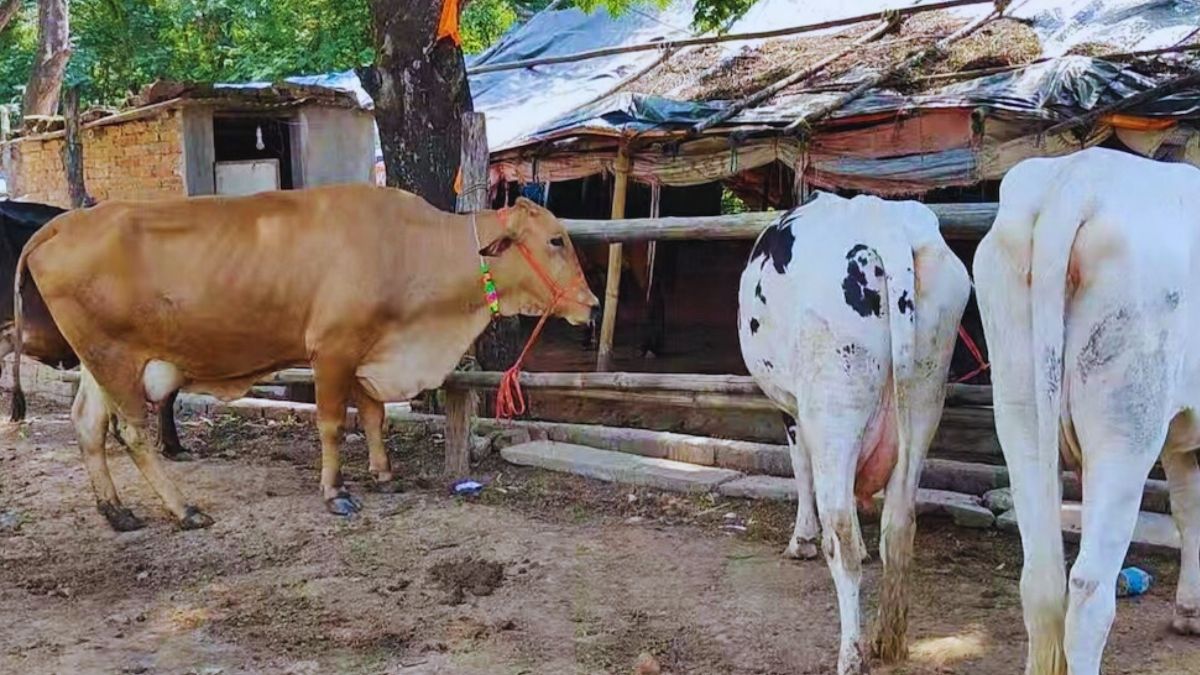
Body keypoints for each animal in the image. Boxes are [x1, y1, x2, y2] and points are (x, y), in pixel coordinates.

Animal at [738, 193, 970, 675]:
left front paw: (801, 539)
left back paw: (851, 653)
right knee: (899, 523)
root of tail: (882, 221)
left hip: (834, 405)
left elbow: (801, 469)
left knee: (840, 534)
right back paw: (888, 640)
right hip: (925, 395)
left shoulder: (792, 409)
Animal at [974, 147, 1200, 675]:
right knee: (1089, 588)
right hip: (1126, 425)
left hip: (1018, 404)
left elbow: (1188, 507)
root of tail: (1078, 178)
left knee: (1041, 579)